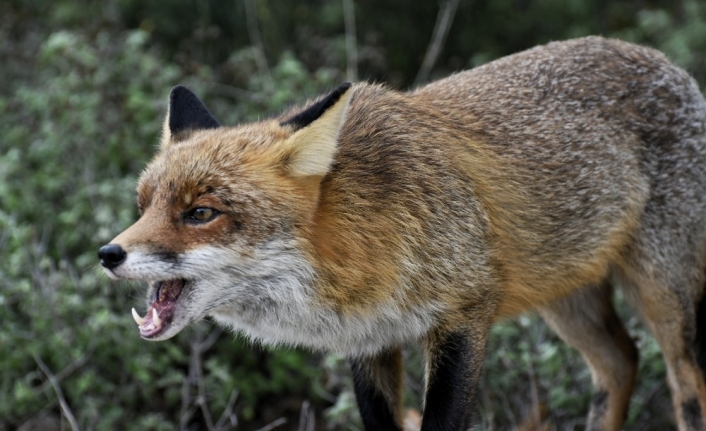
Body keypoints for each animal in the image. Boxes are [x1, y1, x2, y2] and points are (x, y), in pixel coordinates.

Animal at [97, 38, 704, 431]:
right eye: (144, 205)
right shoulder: (368, 340)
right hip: (566, 300)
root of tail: (669, 64)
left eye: (201, 213)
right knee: (622, 362)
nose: (108, 253)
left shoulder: (465, 312)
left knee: (687, 385)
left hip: (662, 293)